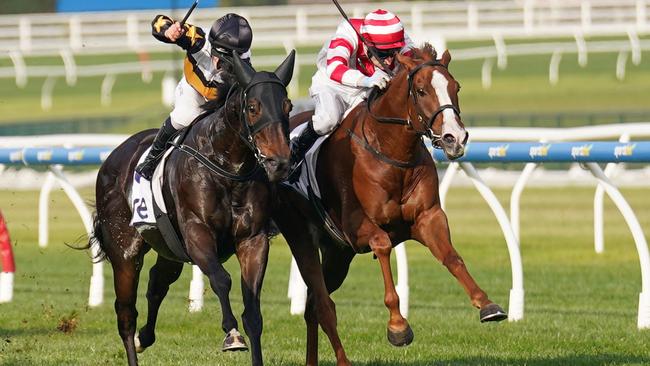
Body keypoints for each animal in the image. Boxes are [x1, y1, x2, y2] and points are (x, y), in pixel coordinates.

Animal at [88, 51, 294, 366]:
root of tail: (111, 159)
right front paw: (232, 335)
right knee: (125, 315)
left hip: (169, 247)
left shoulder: (253, 239)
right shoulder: (197, 234)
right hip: (125, 253)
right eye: (253, 107)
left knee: (157, 284)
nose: (280, 163)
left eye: (288, 105)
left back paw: (145, 337)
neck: (226, 167)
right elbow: (221, 279)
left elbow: (253, 311)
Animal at [270, 44, 504, 364]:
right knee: (320, 303)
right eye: (421, 90)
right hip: (301, 234)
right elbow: (382, 246)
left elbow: (451, 257)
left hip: (337, 254)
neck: (392, 152)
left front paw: (487, 304)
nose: (454, 138)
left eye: (456, 87)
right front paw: (398, 326)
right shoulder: (357, 229)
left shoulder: (427, 217)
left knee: (312, 307)